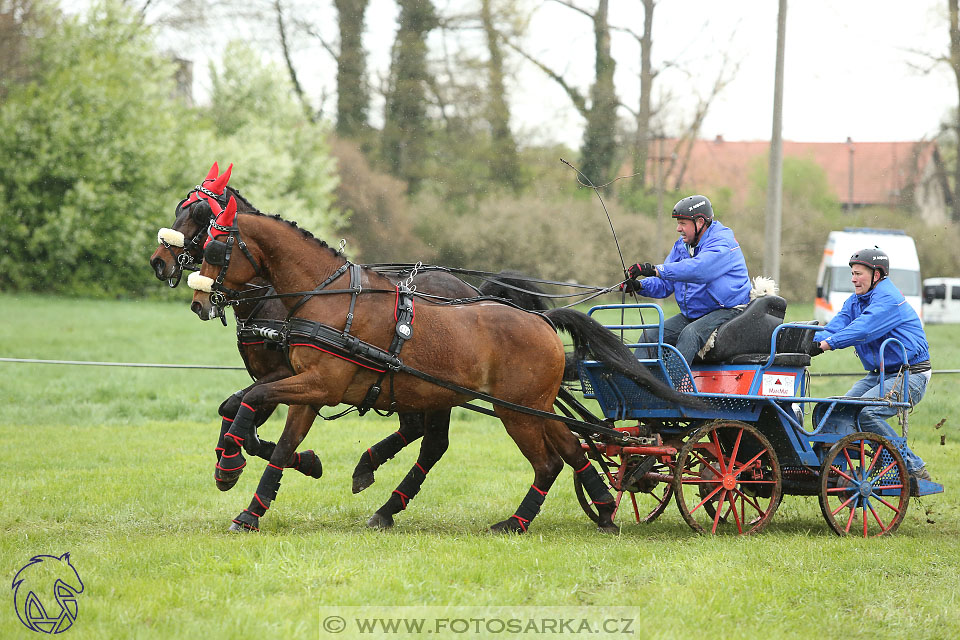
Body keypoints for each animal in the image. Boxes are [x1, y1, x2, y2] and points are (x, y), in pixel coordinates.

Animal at [189, 200, 696, 536]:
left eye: (214, 249)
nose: (197, 301)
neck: (330, 298)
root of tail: (543, 320)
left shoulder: (317, 384)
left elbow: (254, 400)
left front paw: (230, 462)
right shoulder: (307, 390)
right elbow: (275, 440)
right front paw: (252, 506)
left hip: (515, 411)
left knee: (547, 462)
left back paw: (515, 522)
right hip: (532, 406)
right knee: (572, 450)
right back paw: (606, 509)